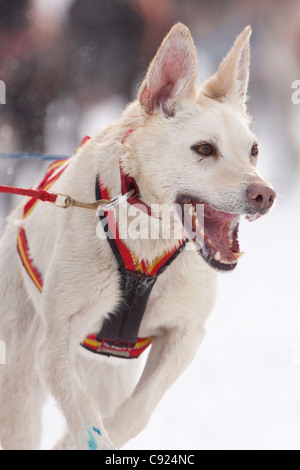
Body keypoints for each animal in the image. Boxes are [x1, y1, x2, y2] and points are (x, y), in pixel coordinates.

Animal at [0, 23, 276, 450]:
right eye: (204, 148)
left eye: (254, 150)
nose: (265, 195)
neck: (147, 238)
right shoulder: (56, 341)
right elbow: (84, 412)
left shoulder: (185, 334)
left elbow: (136, 412)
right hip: (24, 358)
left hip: (109, 374)